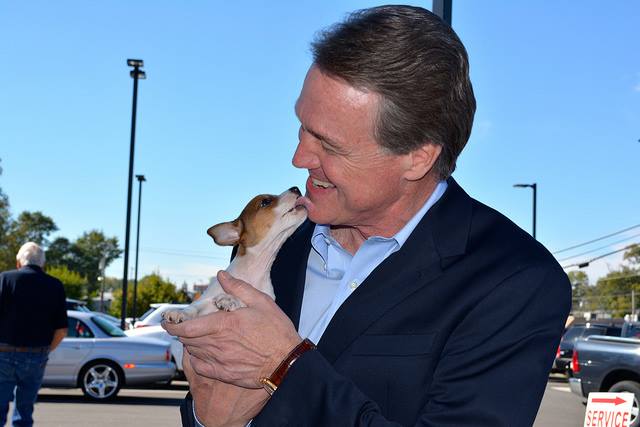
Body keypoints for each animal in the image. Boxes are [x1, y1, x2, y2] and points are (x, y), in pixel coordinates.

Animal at [162, 187, 307, 323]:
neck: (253, 271)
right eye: (265, 201)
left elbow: (244, 302)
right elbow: (195, 306)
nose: (296, 188)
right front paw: (180, 312)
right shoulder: (206, 300)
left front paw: (231, 299)